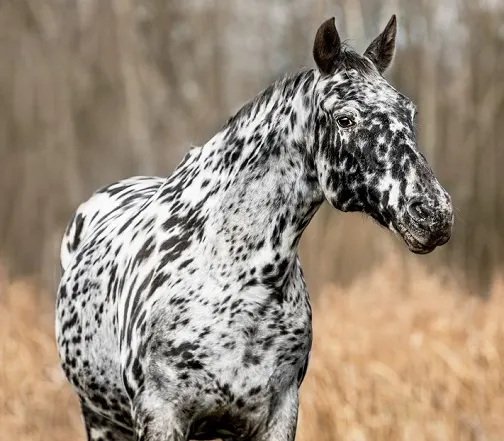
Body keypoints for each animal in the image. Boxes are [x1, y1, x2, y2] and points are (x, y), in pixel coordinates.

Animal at [55, 15, 452, 440]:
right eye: (345, 118)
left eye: (409, 113)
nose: (434, 213)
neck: (236, 277)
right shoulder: (160, 416)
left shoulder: (279, 415)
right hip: (101, 419)